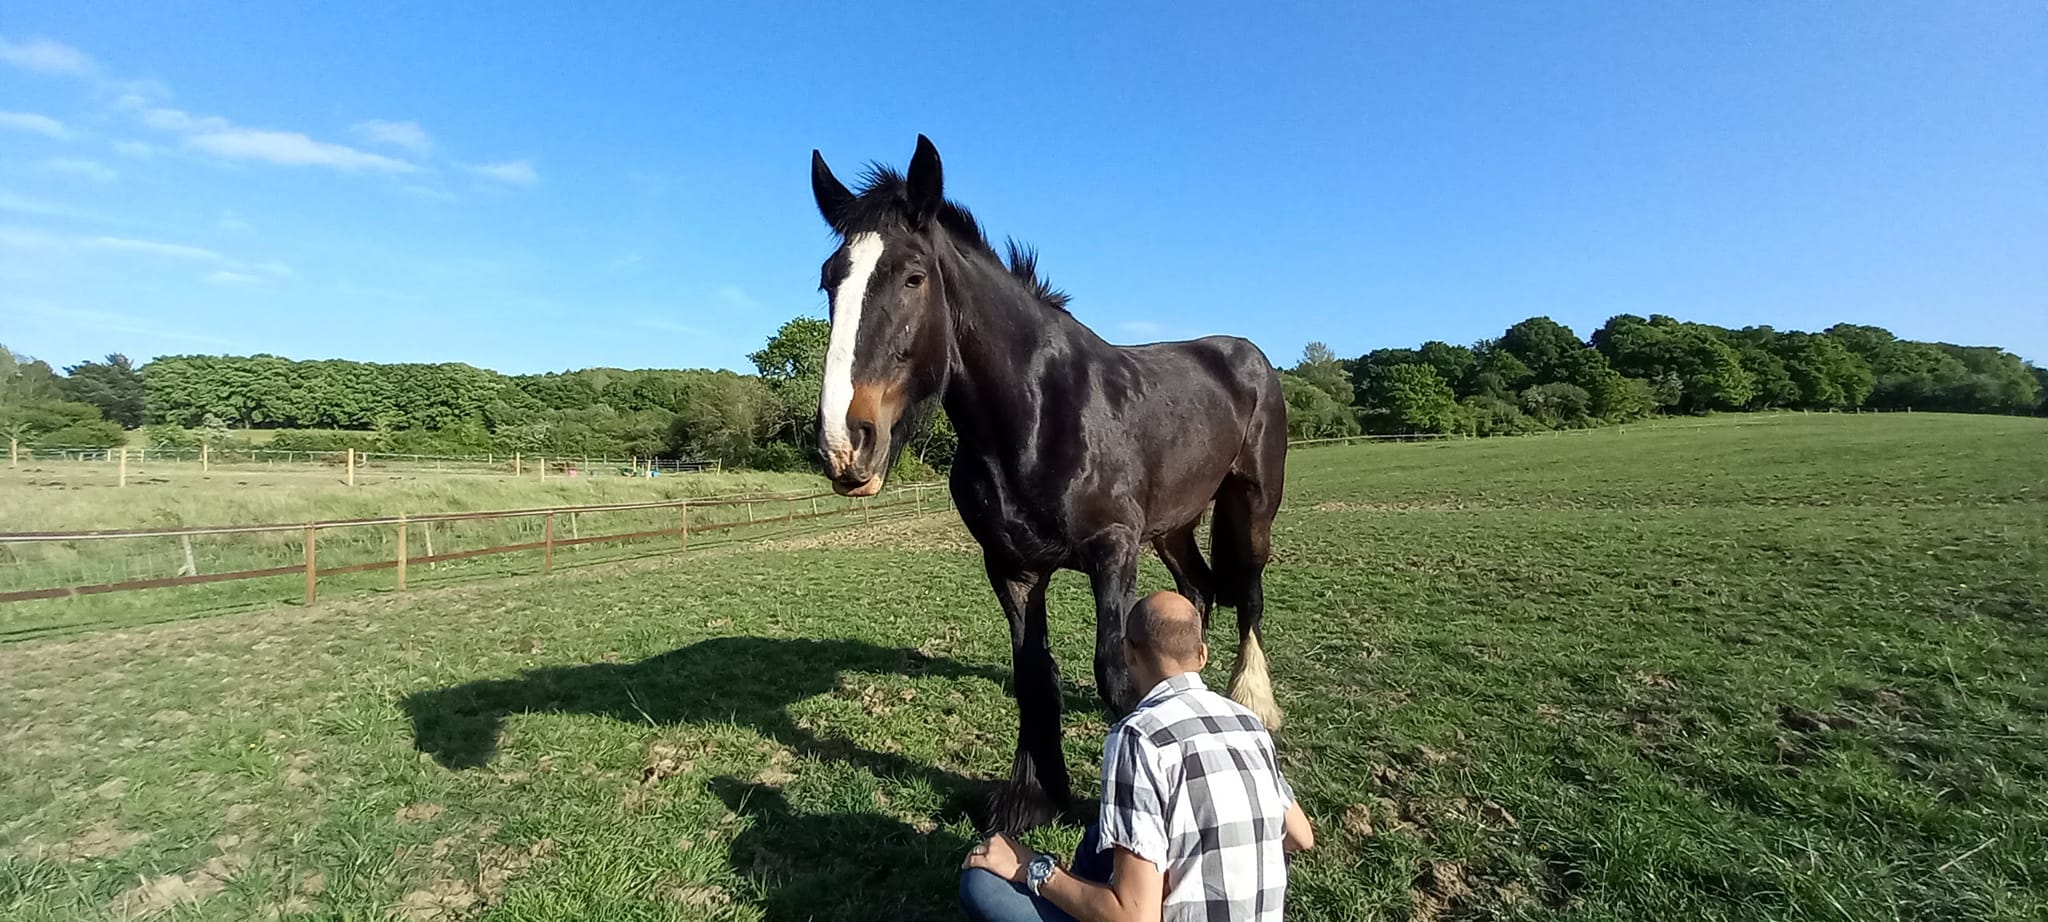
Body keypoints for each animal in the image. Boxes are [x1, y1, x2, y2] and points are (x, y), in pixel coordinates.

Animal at [806, 137, 1286, 835]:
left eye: (913, 276)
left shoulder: (1112, 550)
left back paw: (1253, 701)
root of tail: (1247, 354)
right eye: (829, 279)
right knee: (1198, 590)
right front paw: (1036, 796)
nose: (844, 442)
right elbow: (1034, 675)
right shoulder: (1011, 567)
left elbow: (1113, 672)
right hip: (1172, 525)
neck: (1039, 412)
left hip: (1250, 508)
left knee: (1247, 594)